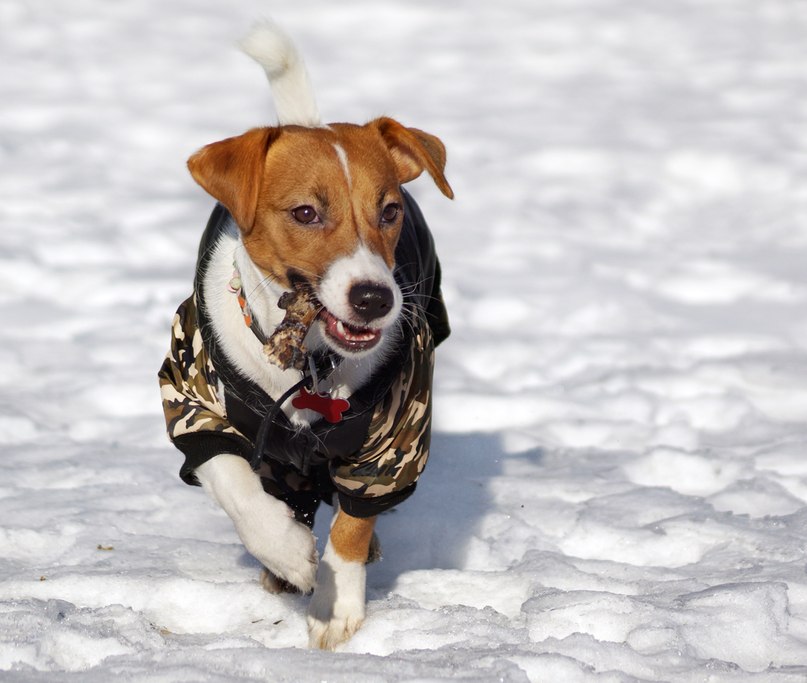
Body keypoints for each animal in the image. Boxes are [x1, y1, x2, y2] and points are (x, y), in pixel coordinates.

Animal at [156, 22, 454, 652]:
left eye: (390, 210)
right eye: (305, 213)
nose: (375, 299)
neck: (309, 364)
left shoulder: (394, 435)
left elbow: (353, 525)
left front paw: (335, 606)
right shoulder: (191, 395)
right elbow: (232, 478)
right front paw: (289, 554)